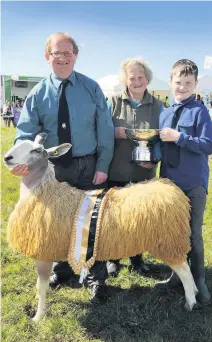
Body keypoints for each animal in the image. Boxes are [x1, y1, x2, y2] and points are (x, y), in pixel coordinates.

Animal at [4, 132, 198, 322]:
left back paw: (191, 302)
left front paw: (38, 316)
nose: (7, 157)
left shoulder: (43, 253)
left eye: (36, 150)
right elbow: (40, 285)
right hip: (171, 240)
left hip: (167, 240)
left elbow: (41, 286)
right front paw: (38, 305)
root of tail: (174, 191)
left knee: (184, 271)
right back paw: (194, 291)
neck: (44, 192)